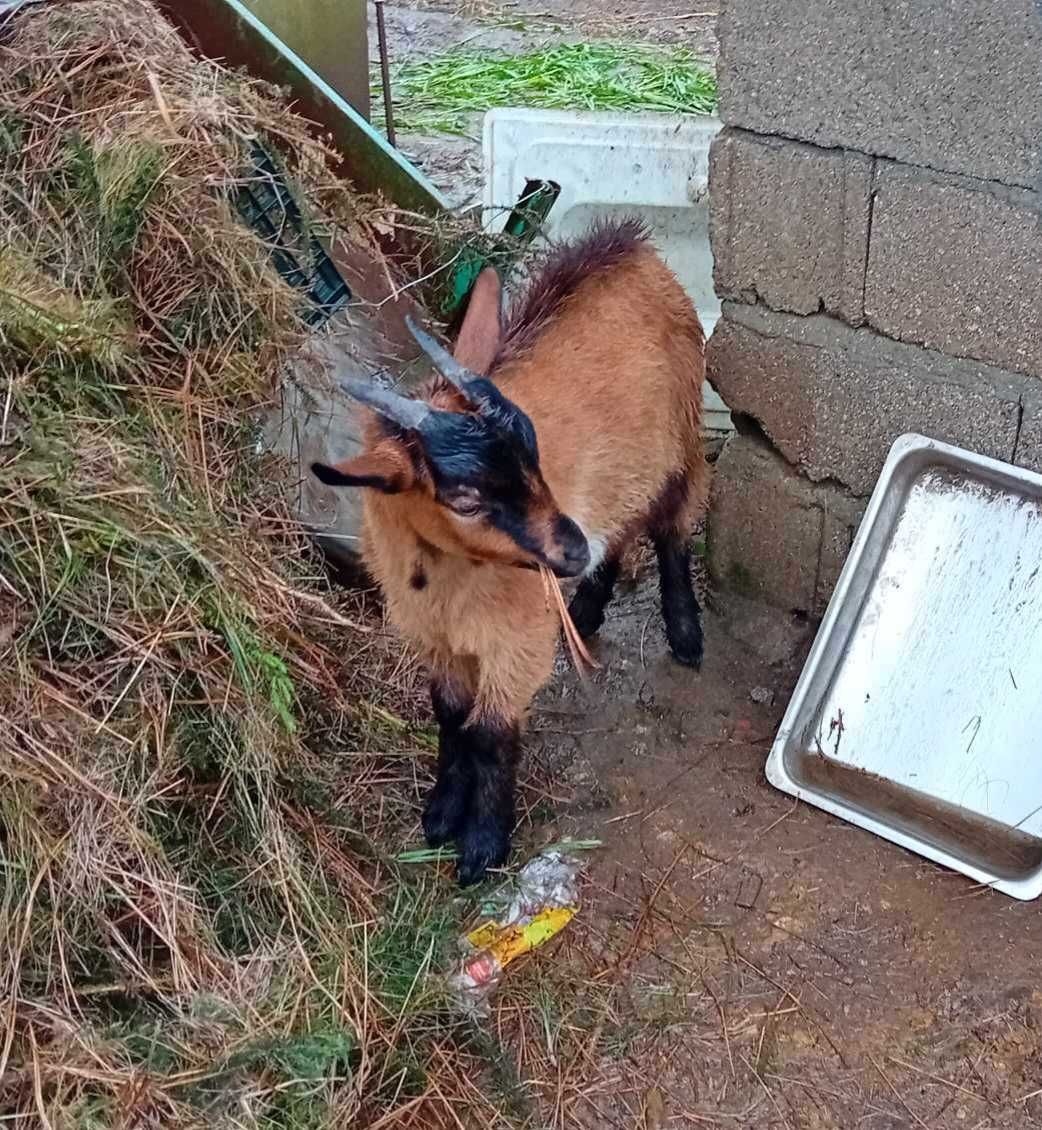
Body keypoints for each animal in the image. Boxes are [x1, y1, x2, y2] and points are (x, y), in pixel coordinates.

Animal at [314, 220, 705, 885]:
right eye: (465, 499)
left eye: (532, 451)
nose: (569, 550)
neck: (447, 583)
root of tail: (632, 243)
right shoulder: (434, 640)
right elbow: (451, 718)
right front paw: (442, 814)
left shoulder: (515, 641)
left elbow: (491, 732)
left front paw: (482, 847)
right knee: (622, 530)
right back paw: (586, 610)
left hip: (683, 436)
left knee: (672, 528)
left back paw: (683, 632)